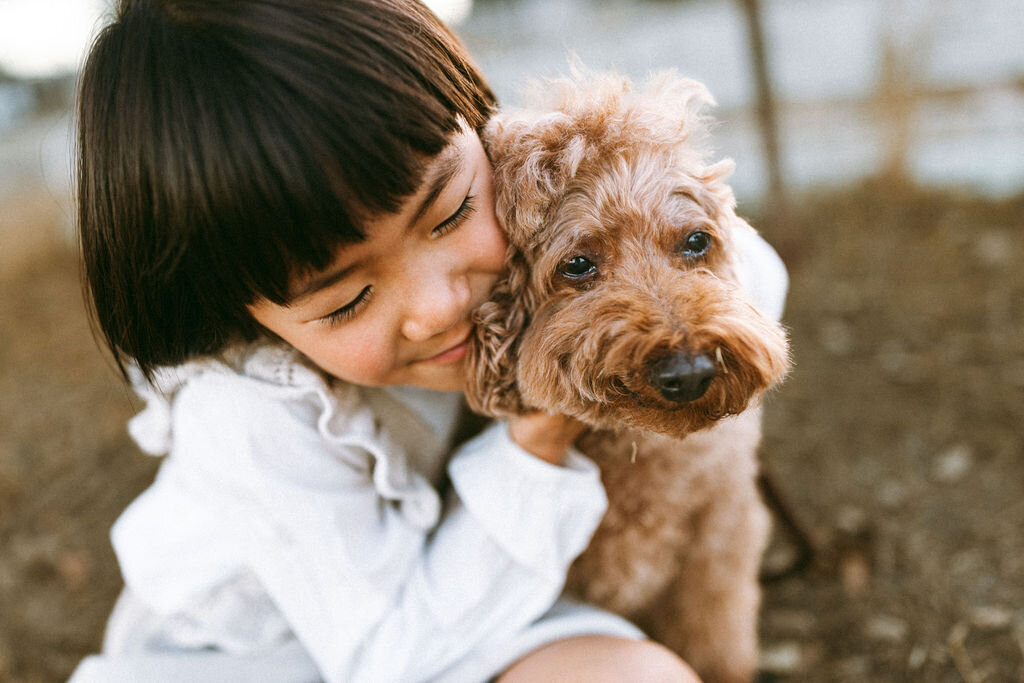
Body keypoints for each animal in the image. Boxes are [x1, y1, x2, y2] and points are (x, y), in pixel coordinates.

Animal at [464, 72, 790, 679]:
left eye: (696, 242)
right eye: (577, 265)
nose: (690, 371)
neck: (640, 447)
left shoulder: (719, 545)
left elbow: (718, 642)